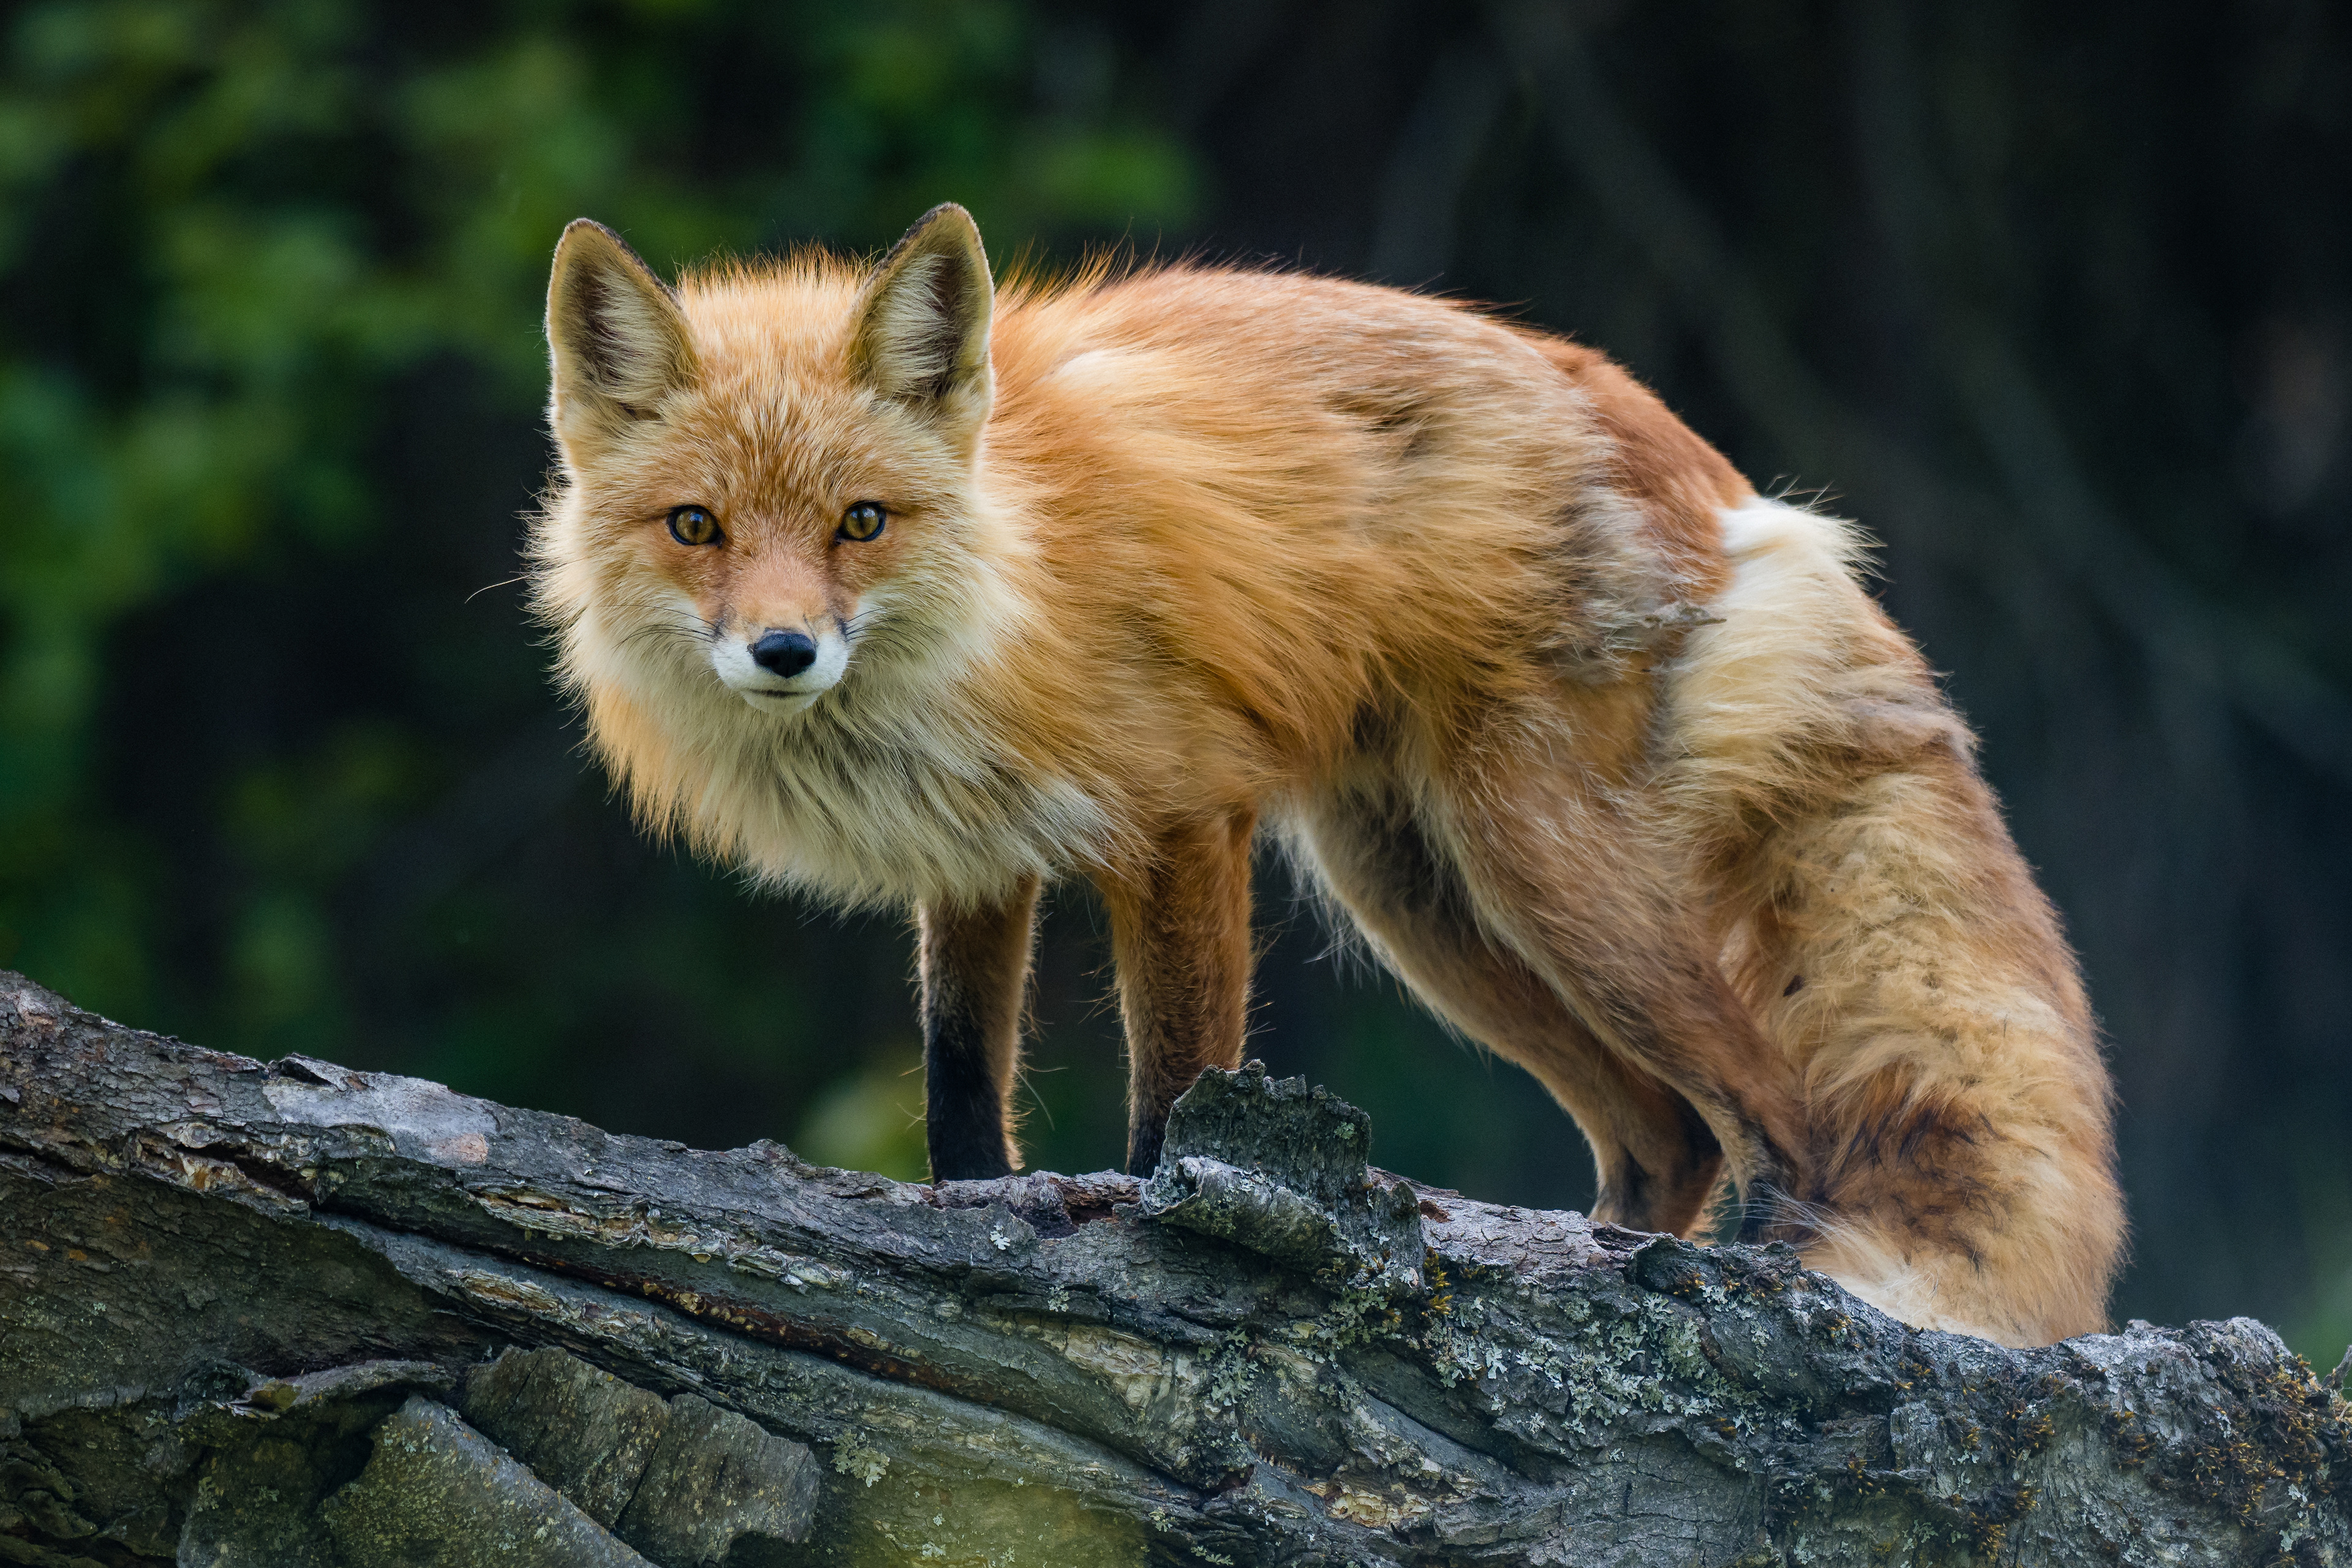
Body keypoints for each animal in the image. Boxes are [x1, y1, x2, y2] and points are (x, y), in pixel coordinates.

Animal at [530, 203, 2123, 1347]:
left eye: (860, 521)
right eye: (696, 526)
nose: (784, 650)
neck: (1010, 571)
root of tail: (1718, 480)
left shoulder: (1184, 811)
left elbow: (1177, 1090)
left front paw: (1168, 1240)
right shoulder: (974, 852)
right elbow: (959, 1078)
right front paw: (976, 1210)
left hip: (1540, 864)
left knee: (1775, 1111)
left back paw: (1762, 1289)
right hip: (1423, 898)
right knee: (1666, 1132)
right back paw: (1603, 1267)